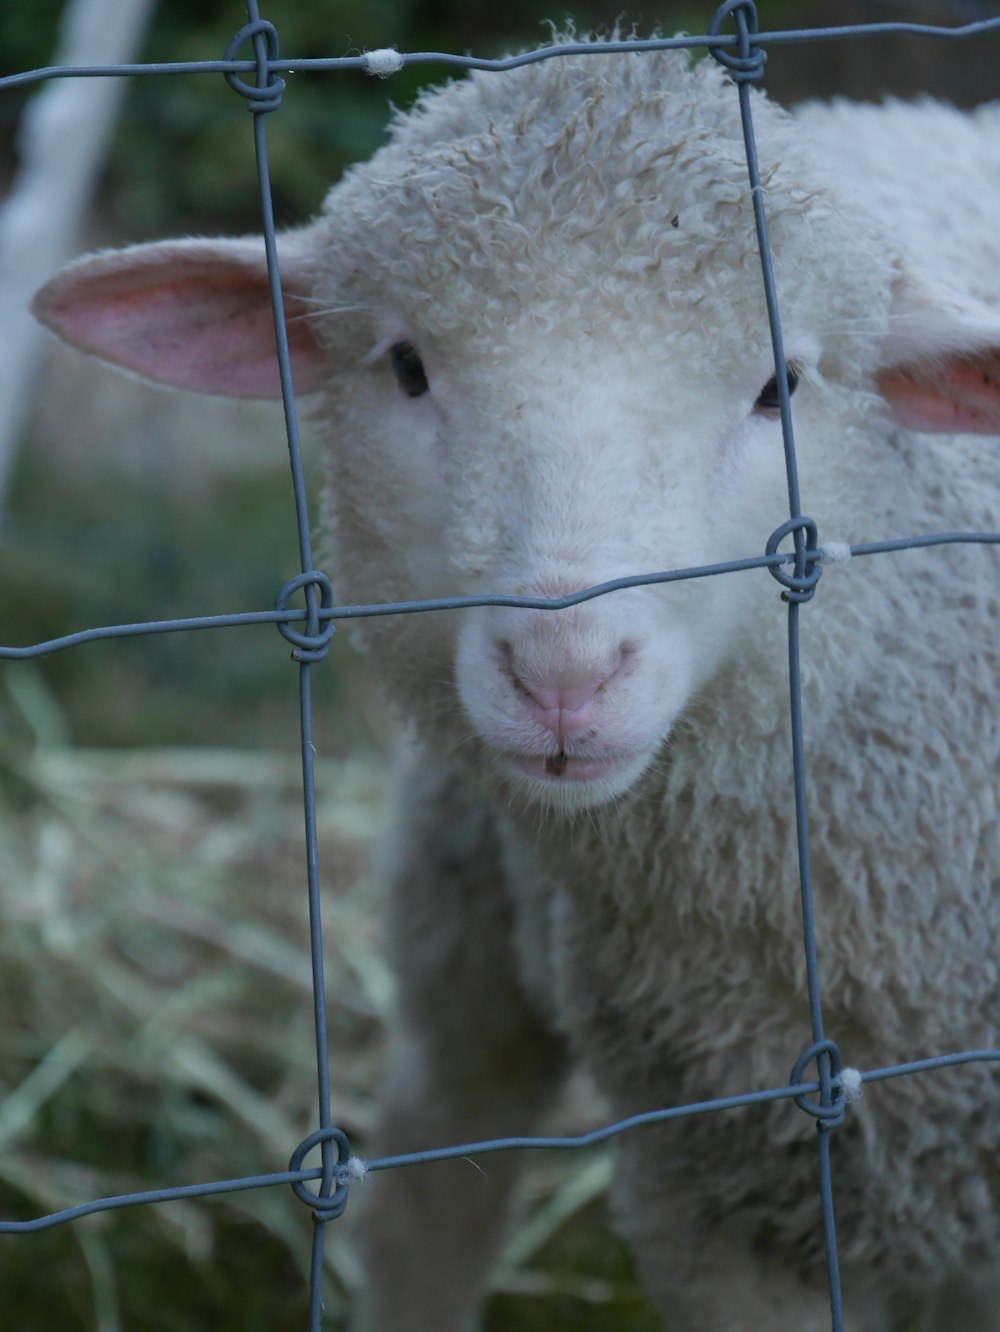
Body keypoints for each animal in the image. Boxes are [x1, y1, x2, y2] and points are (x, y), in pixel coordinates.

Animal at [29, 28, 1000, 1332]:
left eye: (781, 388)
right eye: (405, 366)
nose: (563, 673)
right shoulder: (712, 1200)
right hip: (461, 912)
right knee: (433, 1174)